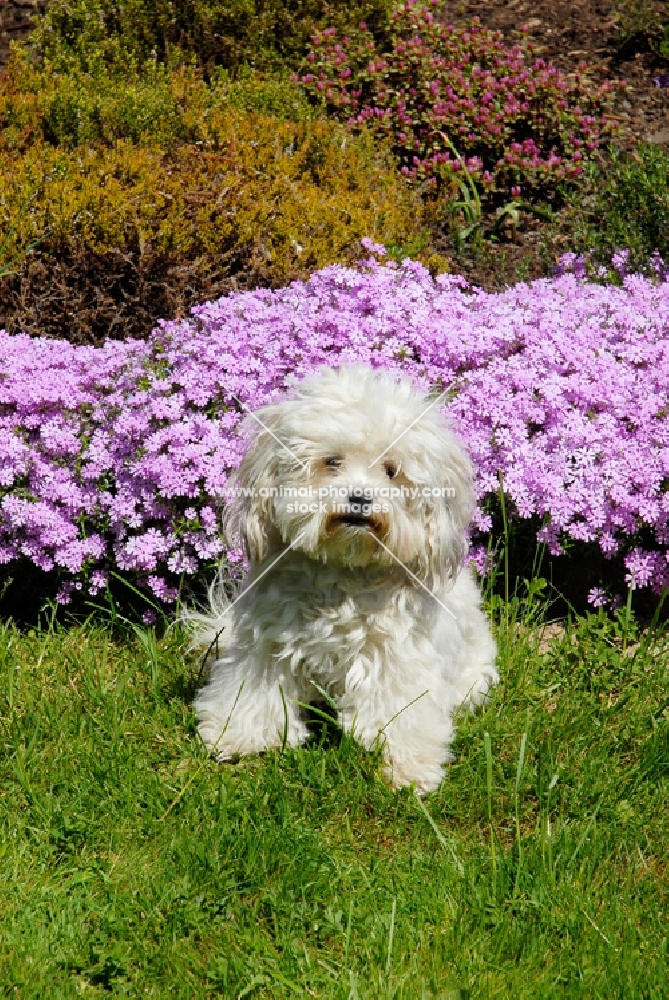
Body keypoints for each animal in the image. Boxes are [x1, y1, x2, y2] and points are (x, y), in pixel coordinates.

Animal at [193, 364, 496, 792]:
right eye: (332, 462)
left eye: (391, 471)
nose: (359, 497)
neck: (344, 573)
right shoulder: (265, 645)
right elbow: (254, 693)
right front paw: (238, 735)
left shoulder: (399, 660)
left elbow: (403, 714)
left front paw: (410, 769)